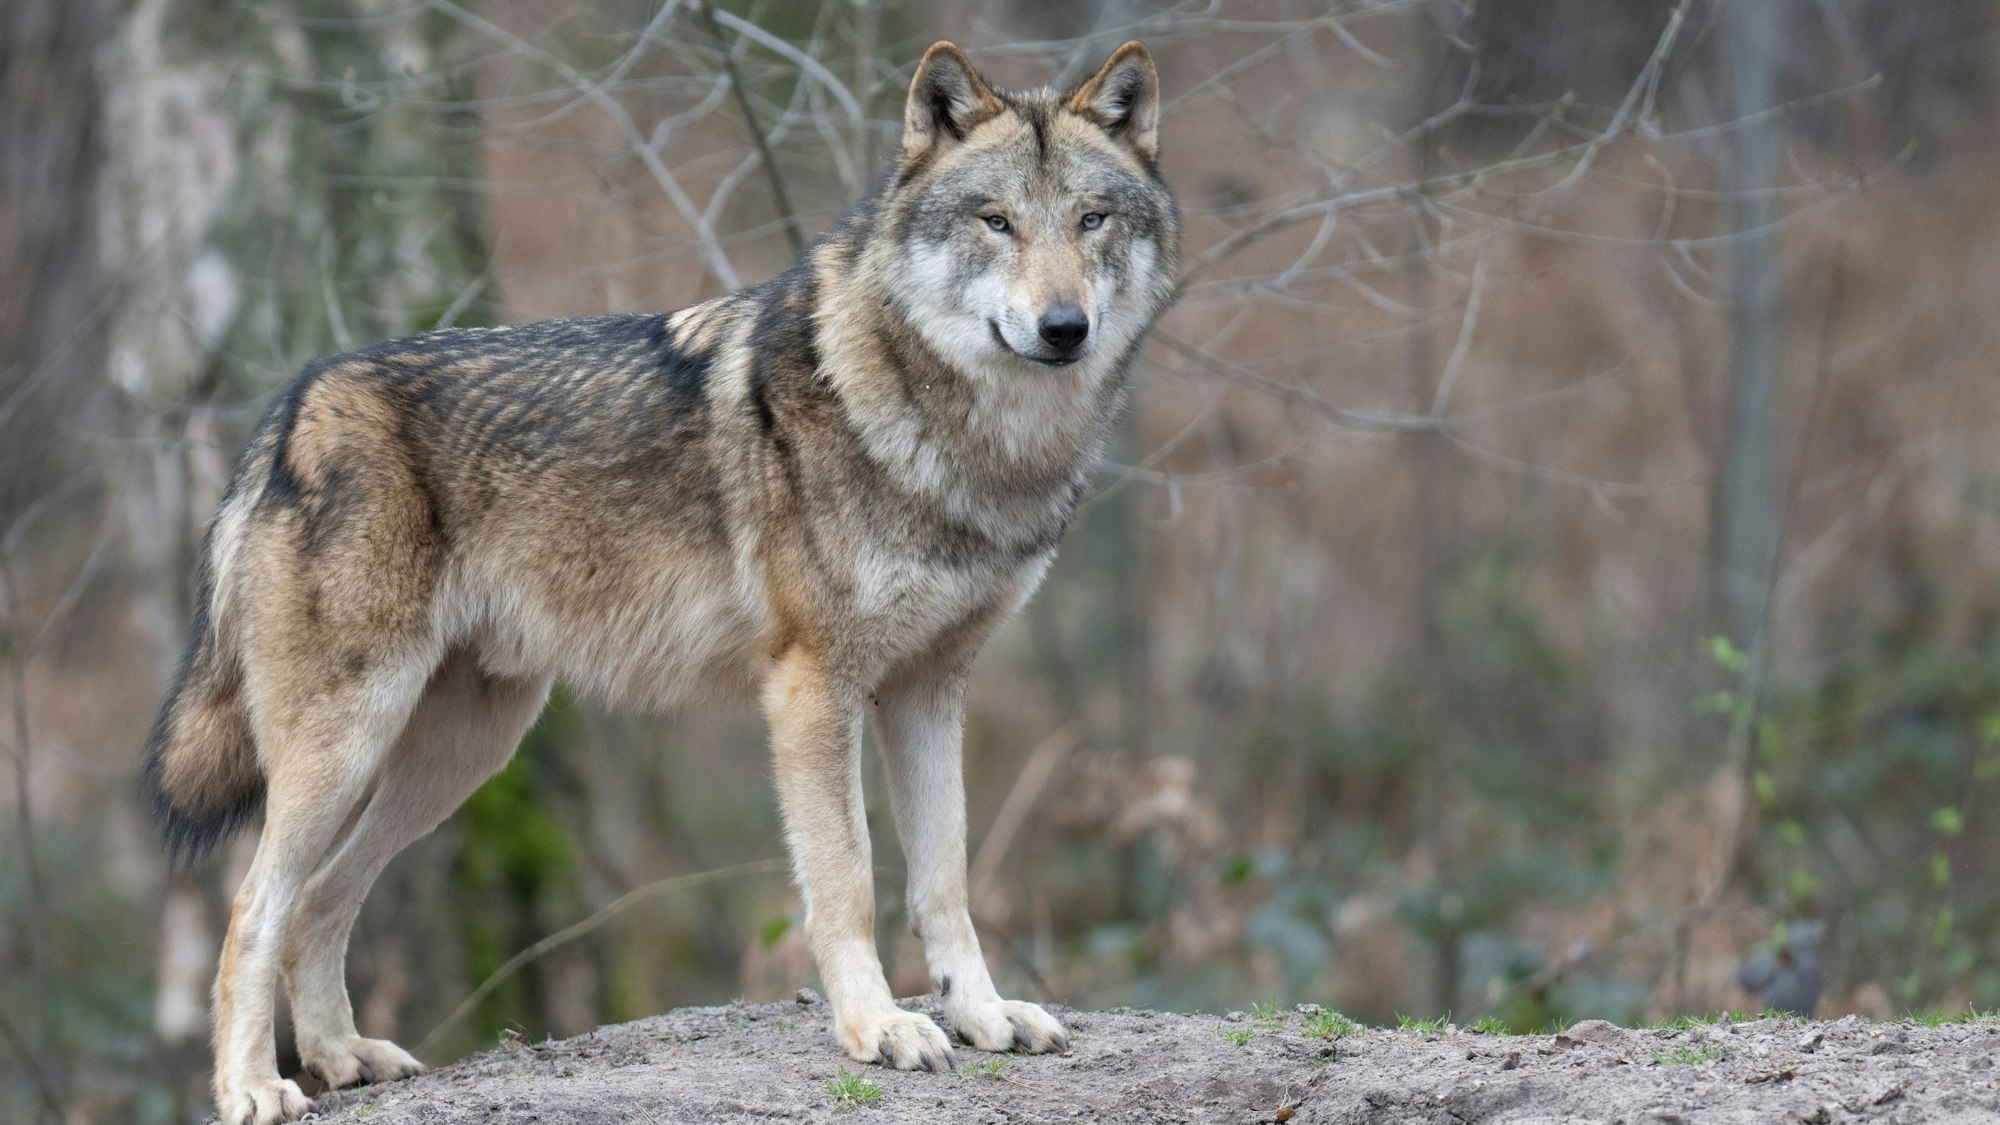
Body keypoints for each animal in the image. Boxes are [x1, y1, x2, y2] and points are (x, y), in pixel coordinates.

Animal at [142, 40, 1179, 1123]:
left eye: (1090, 220)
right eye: (995, 221)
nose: (1063, 327)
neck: (966, 445)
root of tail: (293, 404)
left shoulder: (929, 691)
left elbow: (944, 880)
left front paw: (980, 1015)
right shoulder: (813, 689)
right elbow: (848, 880)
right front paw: (877, 1028)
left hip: (459, 755)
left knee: (321, 900)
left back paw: (345, 1057)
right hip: (350, 746)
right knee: (253, 907)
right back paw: (253, 1087)